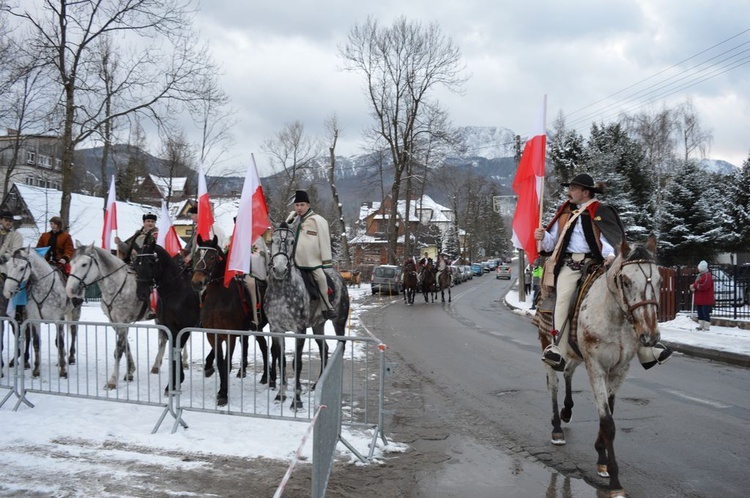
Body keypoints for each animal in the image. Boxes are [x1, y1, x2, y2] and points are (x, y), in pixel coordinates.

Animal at [2, 247, 81, 380]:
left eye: (22, 268)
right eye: (7, 265)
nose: (7, 292)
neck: (44, 288)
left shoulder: (58, 320)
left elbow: (60, 342)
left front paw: (63, 371)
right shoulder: (33, 320)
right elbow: (36, 343)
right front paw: (36, 371)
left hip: (75, 311)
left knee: (74, 332)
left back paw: (70, 358)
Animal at [66, 243, 156, 392]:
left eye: (84, 264)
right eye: (71, 263)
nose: (70, 290)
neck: (119, 286)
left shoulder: (123, 322)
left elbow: (119, 350)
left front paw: (112, 381)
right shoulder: (116, 322)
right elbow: (125, 346)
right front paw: (130, 372)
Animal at [266, 224, 352, 410]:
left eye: (292, 242)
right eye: (273, 241)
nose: (280, 269)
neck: (281, 291)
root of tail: (340, 277)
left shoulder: (300, 330)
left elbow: (297, 363)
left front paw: (296, 400)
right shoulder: (276, 330)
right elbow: (281, 360)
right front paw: (280, 395)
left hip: (339, 322)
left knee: (340, 346)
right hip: (318, 325)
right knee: (324, 348)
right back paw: (318, 383)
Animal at [536, 236, 664, 498]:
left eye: (660, 280)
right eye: (626, 281)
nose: (650, 336)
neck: (614, 318)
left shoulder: (620, 369)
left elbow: (609, 414)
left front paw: (601, 457)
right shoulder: (596, 367)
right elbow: (608, 422)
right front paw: (614, 480)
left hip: (574, 353)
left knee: (568, 371)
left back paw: (567, 411)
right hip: (549, 345)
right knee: (553, 384)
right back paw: (557, 429)